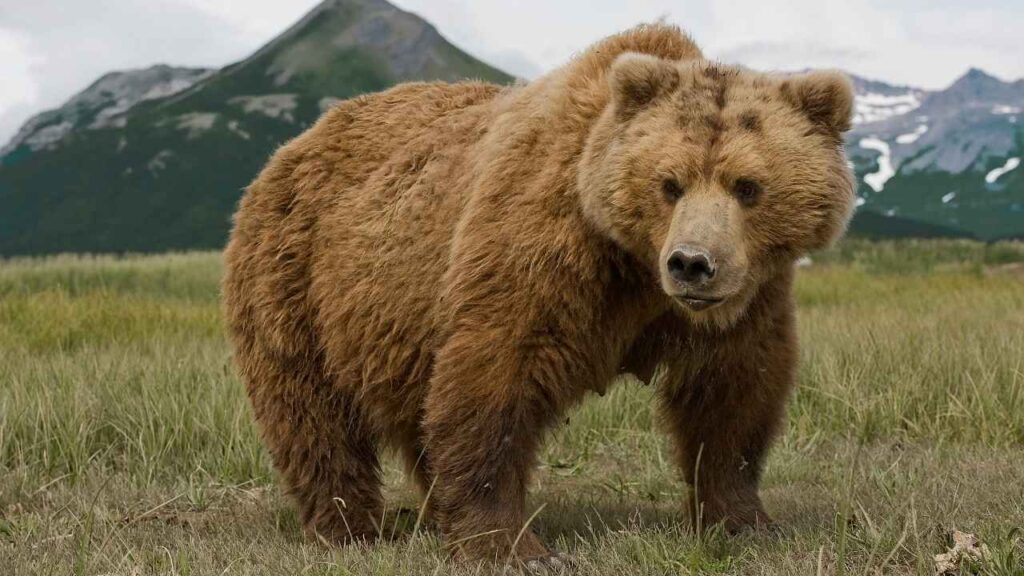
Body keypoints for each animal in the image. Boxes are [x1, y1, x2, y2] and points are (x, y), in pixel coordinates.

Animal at [222, 23, 855, 569]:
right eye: (669, 183)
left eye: (748, 186)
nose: (692, 264)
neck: (635, 266)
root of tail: (293, 146)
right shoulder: (544, 252)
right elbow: (495, 380)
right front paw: (516, 548)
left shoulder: (747, 299)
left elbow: (734, 396)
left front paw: (744, 520)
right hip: (298, 280)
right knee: (312, 415)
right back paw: (350, 527)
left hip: (395, 326)